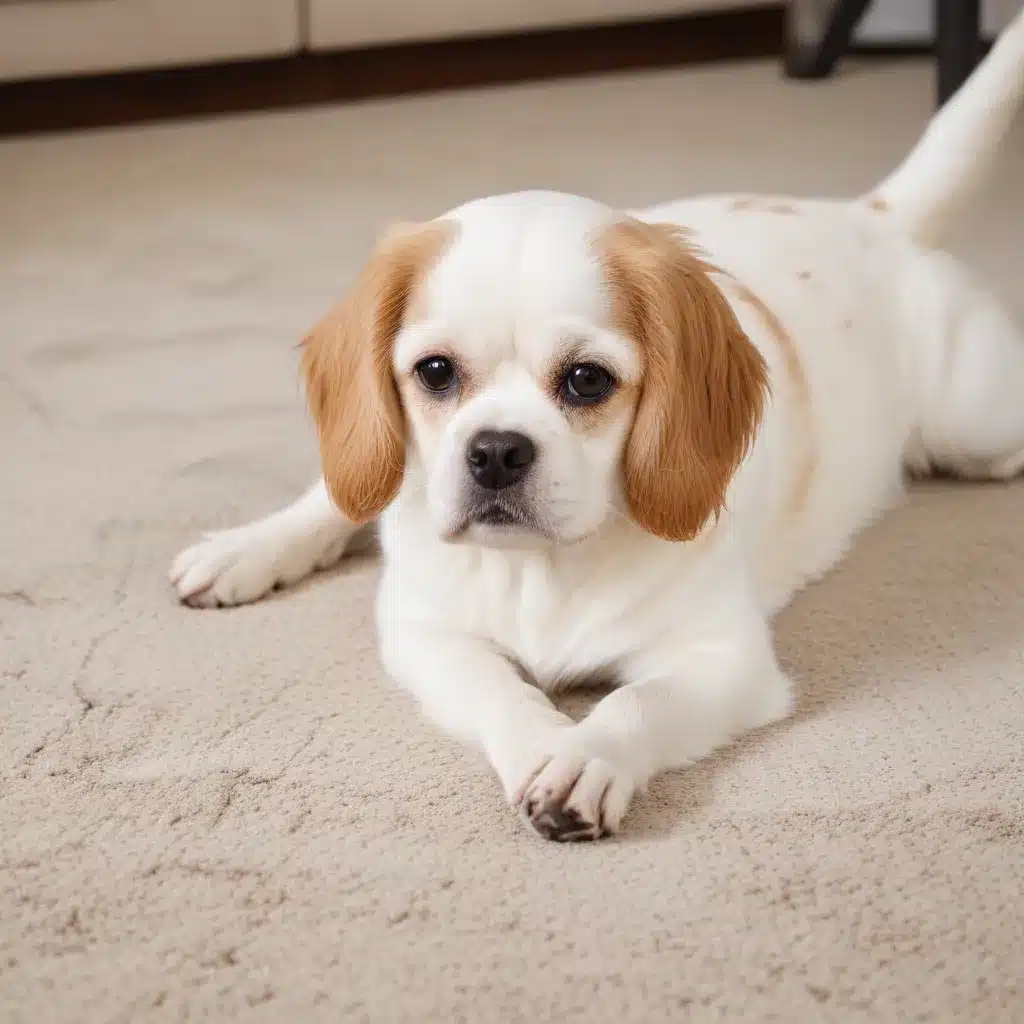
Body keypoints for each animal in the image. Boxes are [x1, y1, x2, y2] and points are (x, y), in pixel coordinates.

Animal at [169, 18, 1024, 839]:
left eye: (587, 380)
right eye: (436, 372)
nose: (495, 453)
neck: (542, 571)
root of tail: (867, 216)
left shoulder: (727, 661)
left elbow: (633, 704)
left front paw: (584, 759)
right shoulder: (427, 634)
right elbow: (501, 689)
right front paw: (543, 742)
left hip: (971, 416)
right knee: (338, 495)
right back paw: (245, 549)